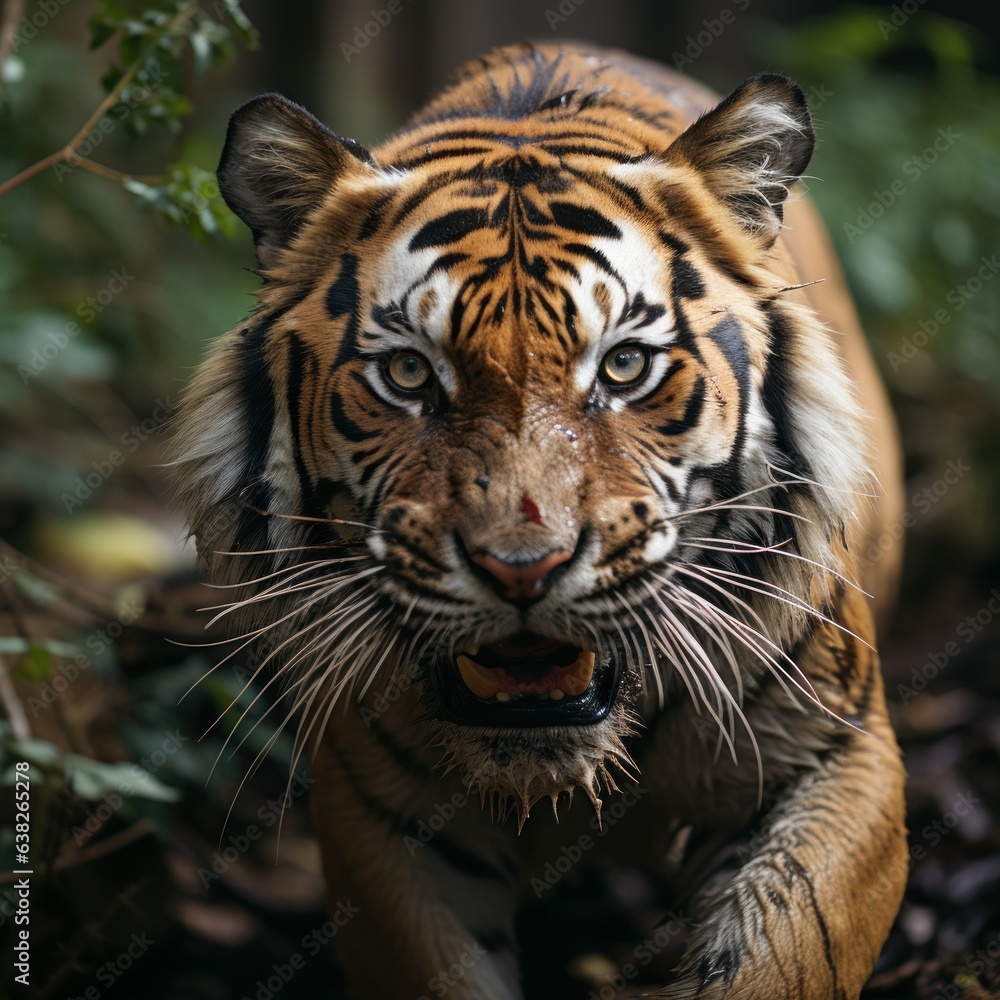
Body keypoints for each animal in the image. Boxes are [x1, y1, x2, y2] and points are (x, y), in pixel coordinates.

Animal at [172, 41, 908, 1000]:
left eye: (625, 366)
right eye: (408, 374)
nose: (521, 567)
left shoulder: (834, 756)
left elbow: (781, 957)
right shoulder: (384, 814)